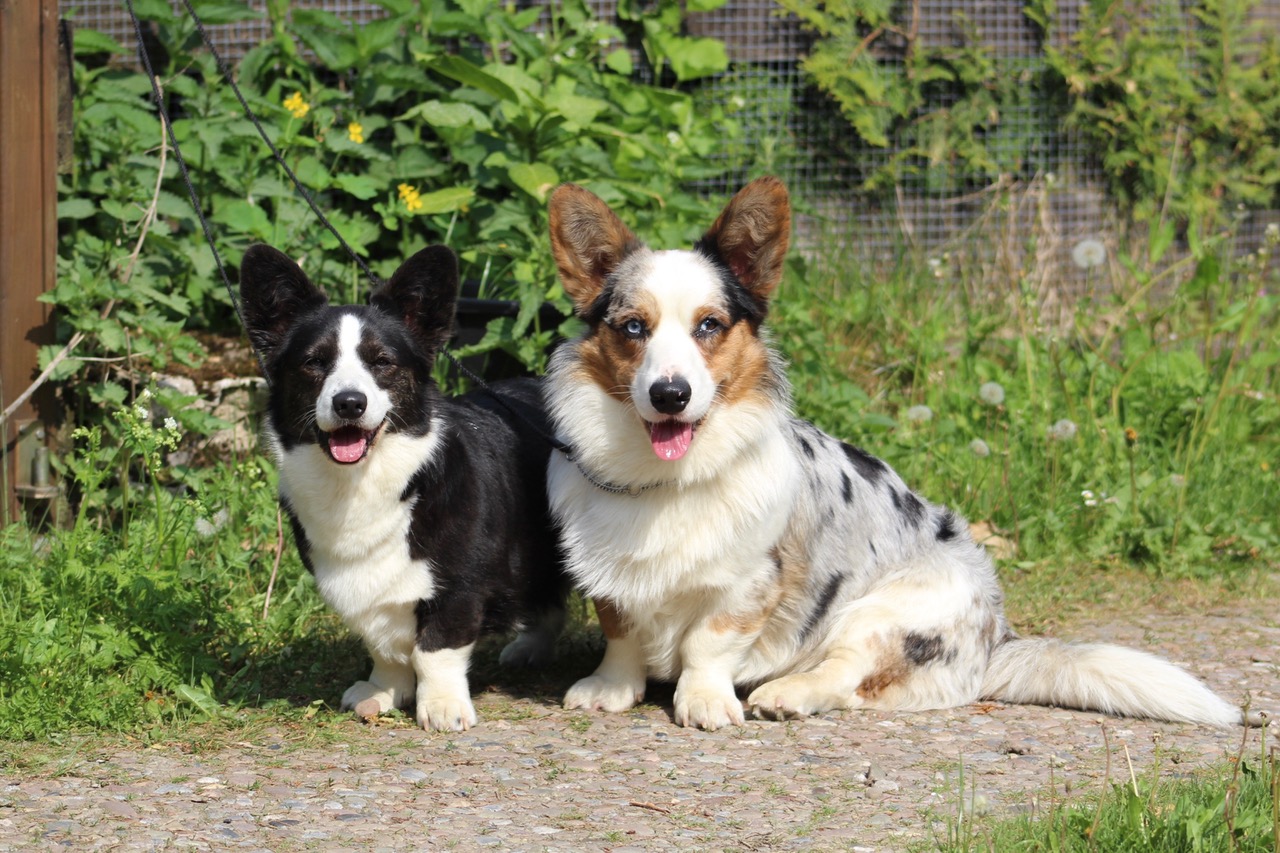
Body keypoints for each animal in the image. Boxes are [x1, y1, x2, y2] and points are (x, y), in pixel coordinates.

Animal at [239, 244, 567, 732]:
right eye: (315, 362)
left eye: (382, 362)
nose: (349, 403)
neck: (360, 484)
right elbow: (385, 649)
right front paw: (382, 691)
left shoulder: (459, 590)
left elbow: (435, 651)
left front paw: (443, 707)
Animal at [542, 177, 1255, 731]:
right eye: (633, 327)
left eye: (709, 326)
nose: (670, 394)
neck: (667, 481)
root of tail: (997, 640)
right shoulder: (611, 582)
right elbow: (622, 633)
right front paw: (611, 689)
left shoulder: (749, 583)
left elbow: (707, 644)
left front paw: (705, 703)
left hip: (885, 610)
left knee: (847, 677)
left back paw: (787, 694)